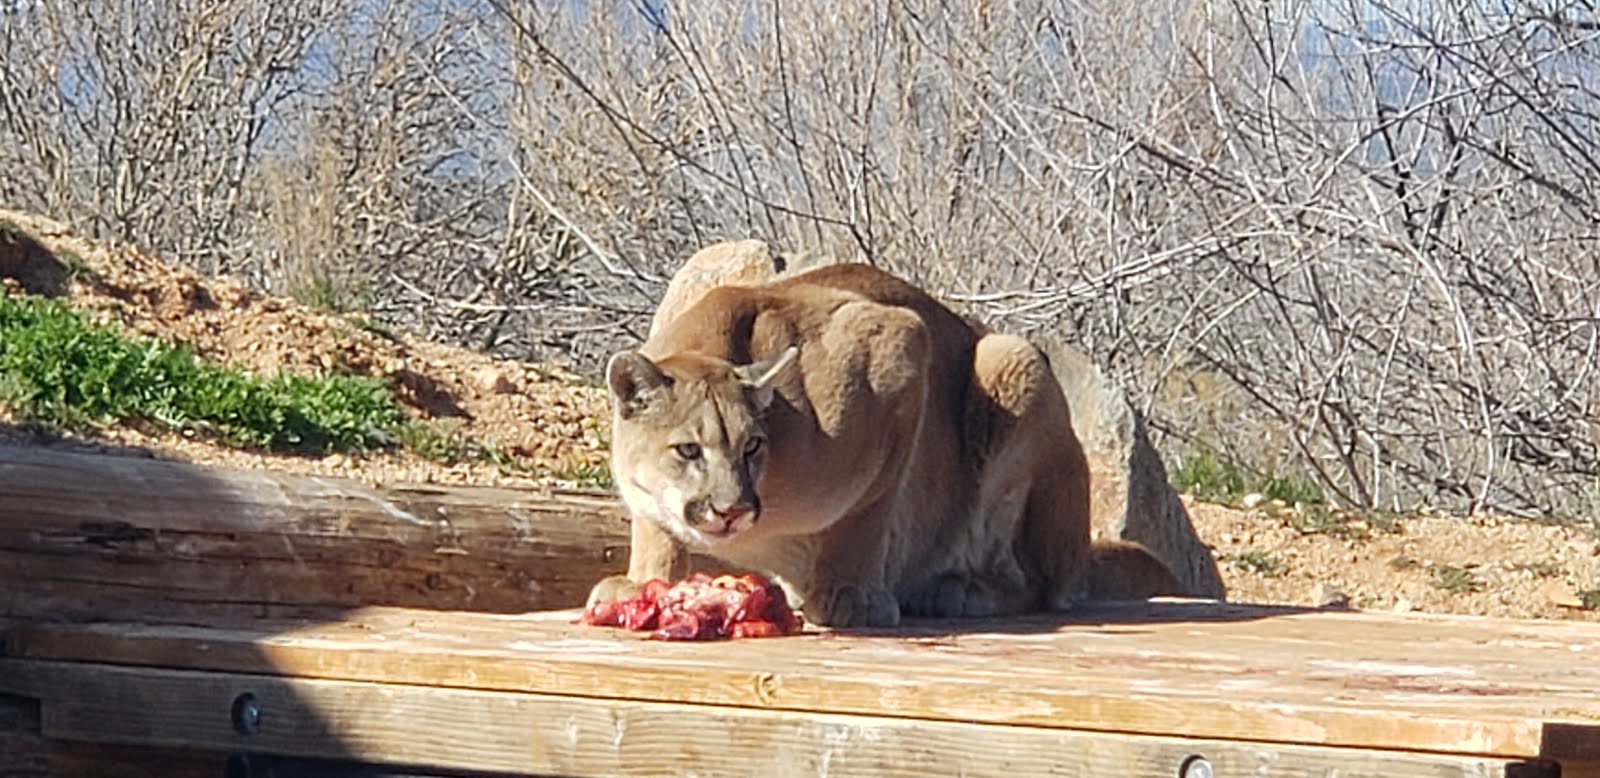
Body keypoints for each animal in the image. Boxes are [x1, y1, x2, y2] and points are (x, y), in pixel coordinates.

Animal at [588, 260, 1177, 627]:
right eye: (688, 451)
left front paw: (850, 594)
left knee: (1042, 583)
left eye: (753, 446)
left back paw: (958, 587)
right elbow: (654, 526)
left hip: (1012, 360)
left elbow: (868, 509)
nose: (732, 509)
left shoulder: (897, 351)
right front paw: (644, 582)